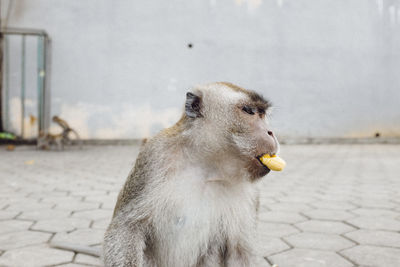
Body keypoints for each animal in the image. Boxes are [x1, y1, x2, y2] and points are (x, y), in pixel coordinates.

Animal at [102, 82, 278, 266]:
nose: (270, 132)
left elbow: (241, 251)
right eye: (249, 111)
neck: (207, 165)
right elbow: (126, 228)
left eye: (262, 114)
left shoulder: (251, 192)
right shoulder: (154, 156)